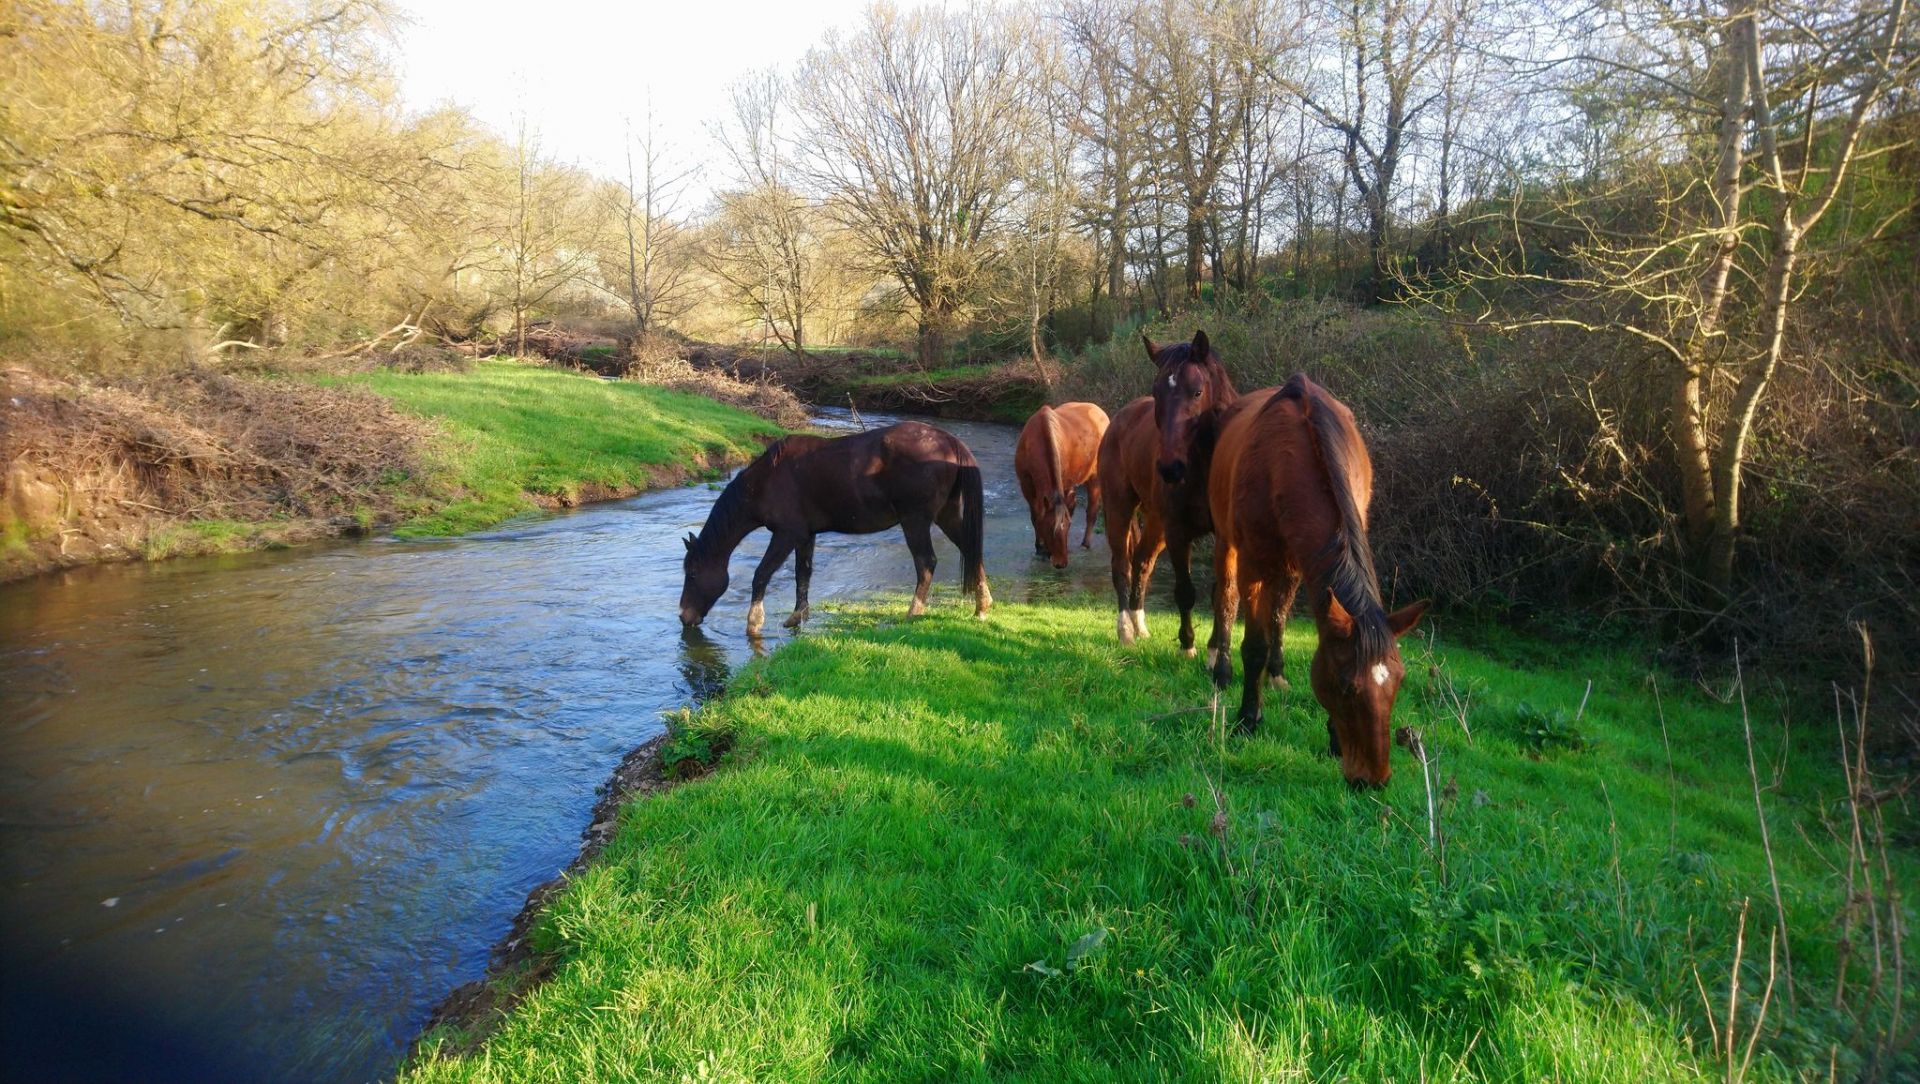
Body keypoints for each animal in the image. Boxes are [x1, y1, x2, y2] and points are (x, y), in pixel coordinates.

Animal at [679, 416, 990, 633]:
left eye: (692, 574)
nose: (684, 616)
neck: (767, 480)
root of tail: (951, 442)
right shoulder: (805, 535)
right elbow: (802, 575)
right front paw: (797, 616)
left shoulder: (785, 534)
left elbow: (761, 574)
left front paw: (754, 622)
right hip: (946, 515)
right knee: (971, 550)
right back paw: (982, 608)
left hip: (915, 521)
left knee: (926, 563)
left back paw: (914, 612)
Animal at [1006, 402, 1113, 571]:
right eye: (1050, 528)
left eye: (1068, 527)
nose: (1061, 563)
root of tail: (1100, 412)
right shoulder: (1027, 486)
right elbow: (1036, 516)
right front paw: (1040, 547)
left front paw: (1044, 548)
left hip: (1094, 478)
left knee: (1092, 511)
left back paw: (1085, 544)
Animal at [1098, 328, 1244, 652]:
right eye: (1157, 393)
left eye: (1197, 392)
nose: (1170, 468)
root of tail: (1119, 418)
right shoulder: (1178, 531)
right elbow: (1185, 591)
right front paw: (1188, 645)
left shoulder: (1226, 537)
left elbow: (1223, 592)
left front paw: (1215, 649)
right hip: (1119, 508)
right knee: (1121, 565)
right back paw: (1126, 630)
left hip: (1155, 521)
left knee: (1142, 562)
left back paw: (1140, 625)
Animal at [1205, 372, 1436, 786]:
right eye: (1345, 686)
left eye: (1398, 682)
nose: (1372, 779)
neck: (1286, 459)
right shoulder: (1254, 563)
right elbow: (1254, 644)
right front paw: (1248, 719)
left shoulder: (1304, 563)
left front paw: (1331, 738)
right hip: (1229, 544)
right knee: (1226, 598)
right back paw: (1222, 666)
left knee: (1279, 613)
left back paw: (1277, 674)